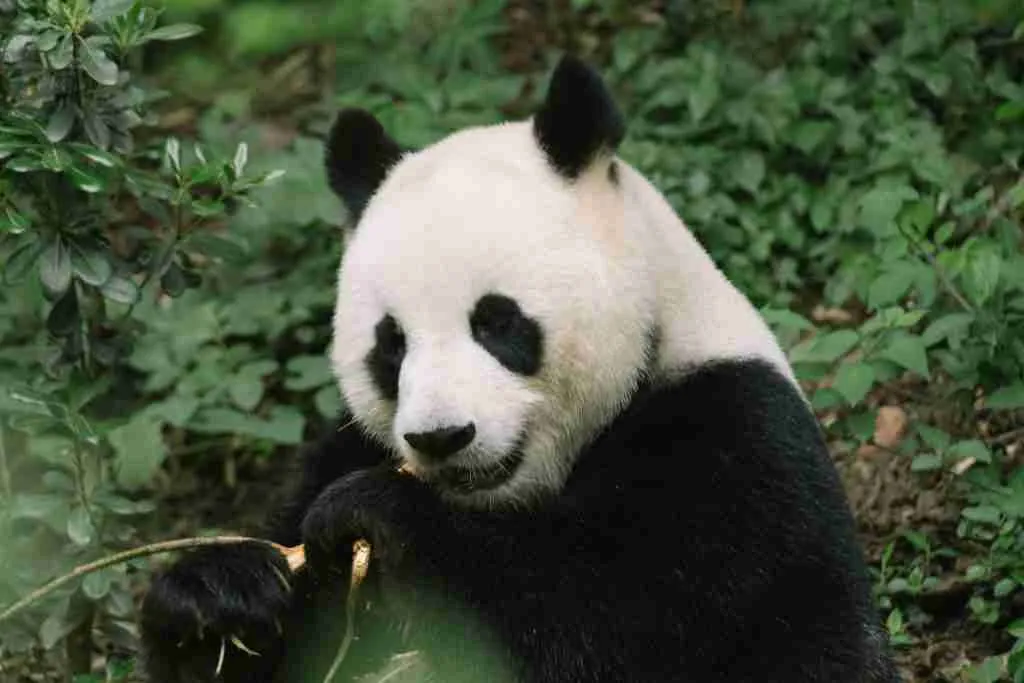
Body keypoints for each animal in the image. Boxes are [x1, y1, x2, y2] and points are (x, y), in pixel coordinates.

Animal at [140, 54, 901, 683]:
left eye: (497, 321)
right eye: (392, 344)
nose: (441, 437)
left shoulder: (730, 442)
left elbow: (606, 617)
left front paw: (381, 512)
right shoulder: (345, 445)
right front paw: (215, 601)